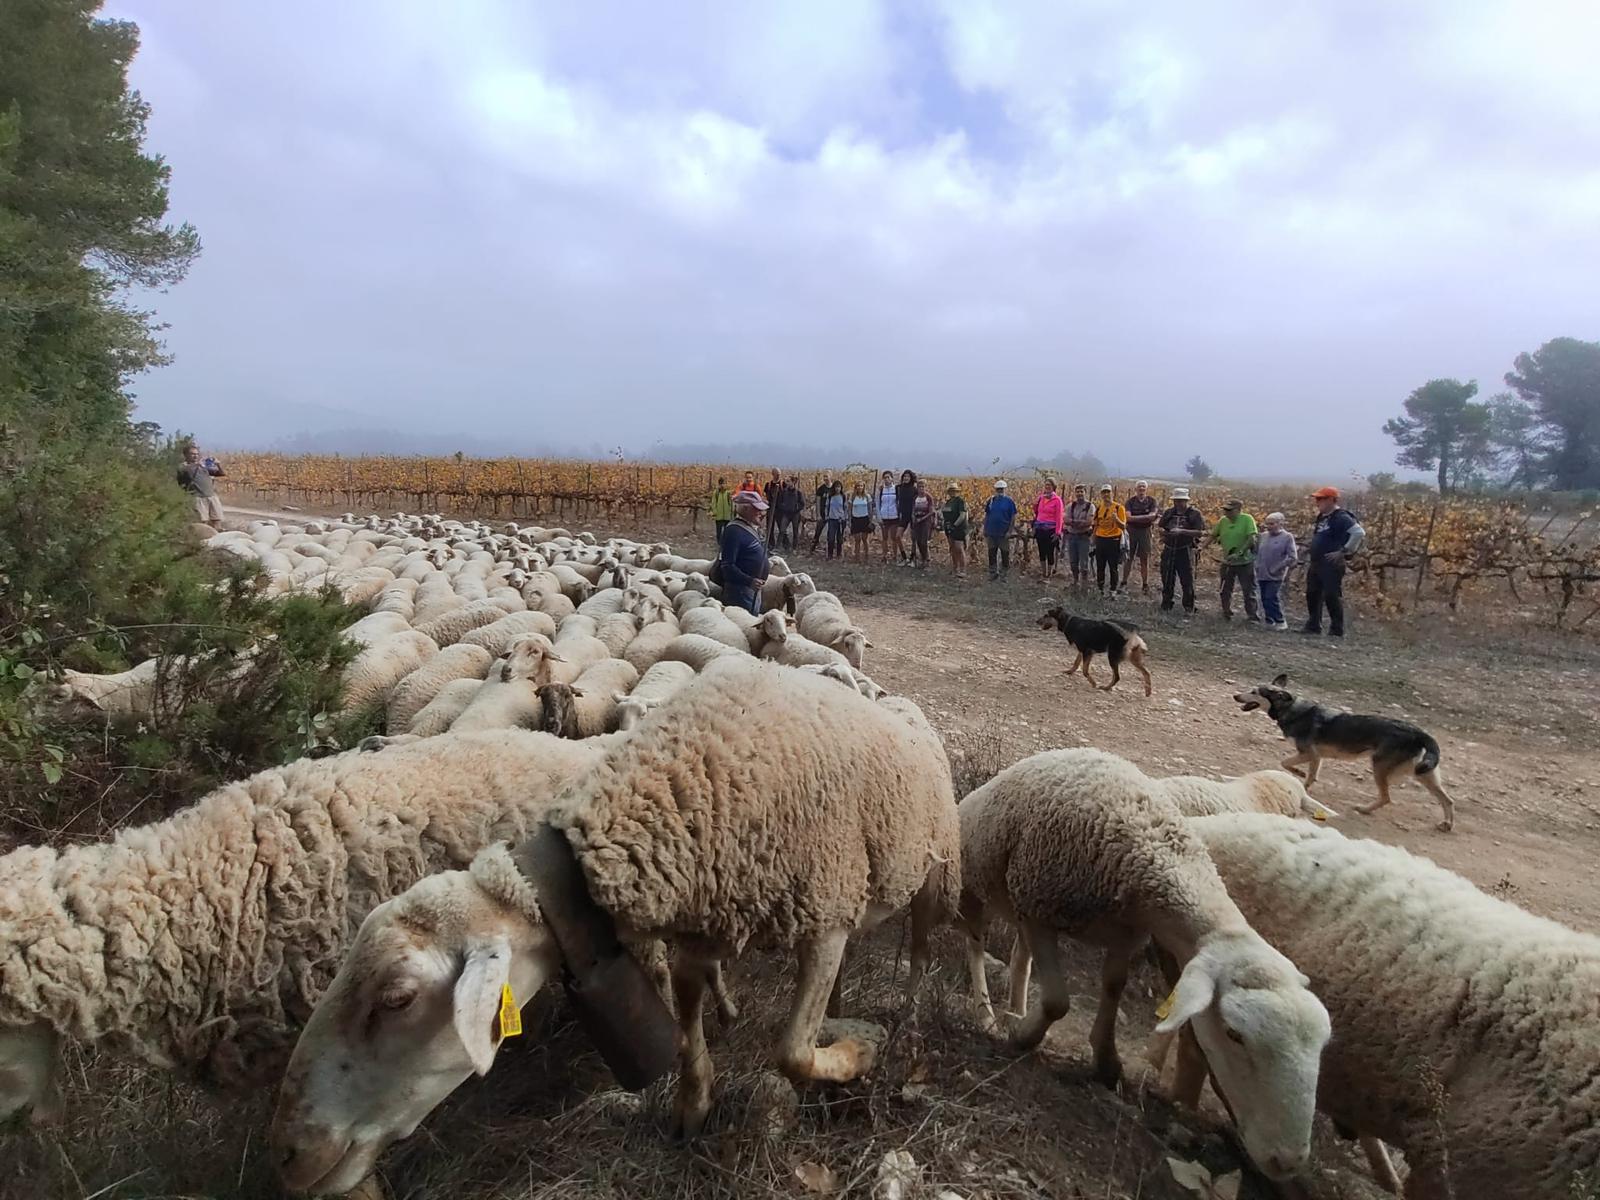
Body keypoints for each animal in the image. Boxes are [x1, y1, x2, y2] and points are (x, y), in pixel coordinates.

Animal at [272, 662, 960, 1196]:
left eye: (397, 999)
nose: (291, 1153)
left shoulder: (824, 911)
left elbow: (791, 1052)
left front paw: (860, 1050)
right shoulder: (700, 930)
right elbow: (686, 1031)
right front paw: (692, 1110)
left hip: (931, 874)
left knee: (923, 953)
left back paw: (906, 1029)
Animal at [953, 752, 1331, 1184]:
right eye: (1234, 1034)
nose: (1287, 1161)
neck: (1148, 845)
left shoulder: (1124, 936)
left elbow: (1113, 986)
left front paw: (1106, 1060)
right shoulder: (1039, 908)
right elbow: (1057, 1001)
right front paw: (1024, 1037)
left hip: (1019, 908)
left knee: (1021, 957)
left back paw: (1015, 1008)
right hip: (979, 888)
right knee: (976, 946)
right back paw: (987, 1013)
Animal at [1228, 672, 1459, 832]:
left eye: (1255, 692)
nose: (1235, 695)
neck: (1291, 709)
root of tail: (1421, 733)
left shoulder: (1309, 754)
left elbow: (1286, 764)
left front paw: (1299, 775)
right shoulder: (1317, 757)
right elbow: (1309, 775)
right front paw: (1304, 783)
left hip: (1380, 767)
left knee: (1387, 798)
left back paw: (1364, 809)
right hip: (1424, 775)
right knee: (1448, 800)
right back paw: (1446, 824)